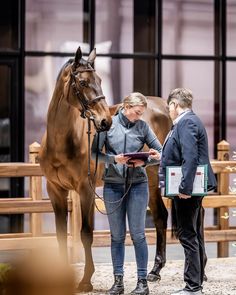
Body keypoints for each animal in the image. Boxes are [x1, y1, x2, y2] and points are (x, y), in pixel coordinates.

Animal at [38, 47, 112, 292]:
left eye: (100, 80)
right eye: (82, 82)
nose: (106, 121)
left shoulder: (85, 190)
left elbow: (86, 233)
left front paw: (85, 281)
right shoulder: (56, 190)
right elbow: (61, 234)